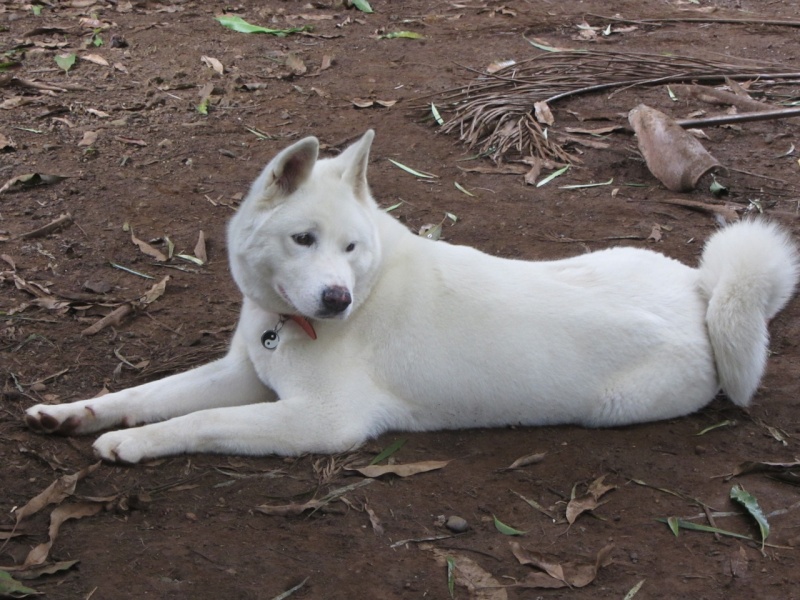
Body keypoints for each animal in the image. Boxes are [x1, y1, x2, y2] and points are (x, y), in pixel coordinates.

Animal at [25, 129, 800, 462]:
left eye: (351, 249)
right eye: (305, 239)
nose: (337, 299)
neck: (288, 325)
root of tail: (703, 290)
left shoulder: (322, 422)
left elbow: (197, 423)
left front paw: (130, 443)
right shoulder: (243, 374)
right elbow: (147, 393)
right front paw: (72, 414)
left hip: (619, 405)